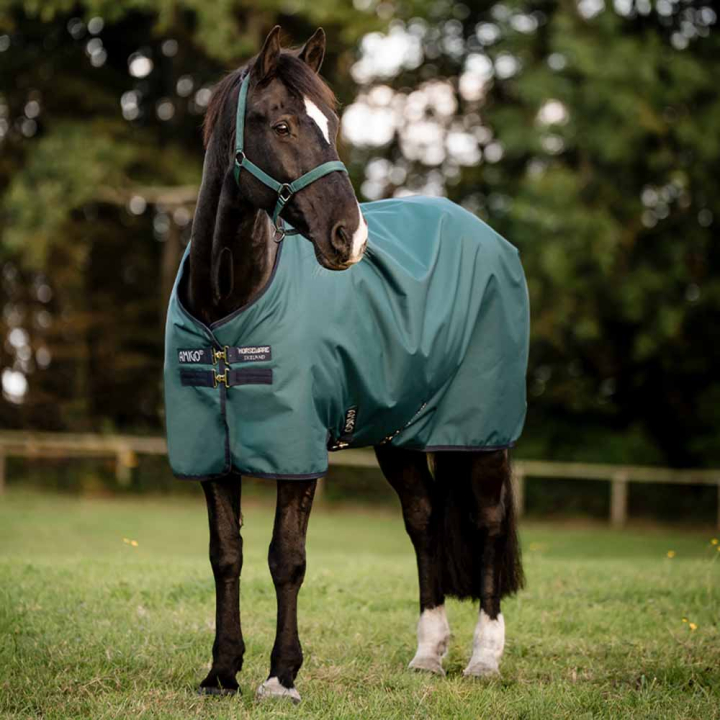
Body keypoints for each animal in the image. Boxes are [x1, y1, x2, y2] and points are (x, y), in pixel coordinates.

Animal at [166, 25, 527, 702]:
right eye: (281, 124)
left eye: (331, 124)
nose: (349, 238)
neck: (229, 308)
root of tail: (486, 234)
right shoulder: (210, 453)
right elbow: (225, 554)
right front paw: (222, 672)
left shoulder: (297, 449)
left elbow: (287, 557)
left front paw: (281, 675)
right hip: (399, 436)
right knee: (424, 521)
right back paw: (428, 654)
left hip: (481, 432)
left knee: (488, 523)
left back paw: (484, 658)